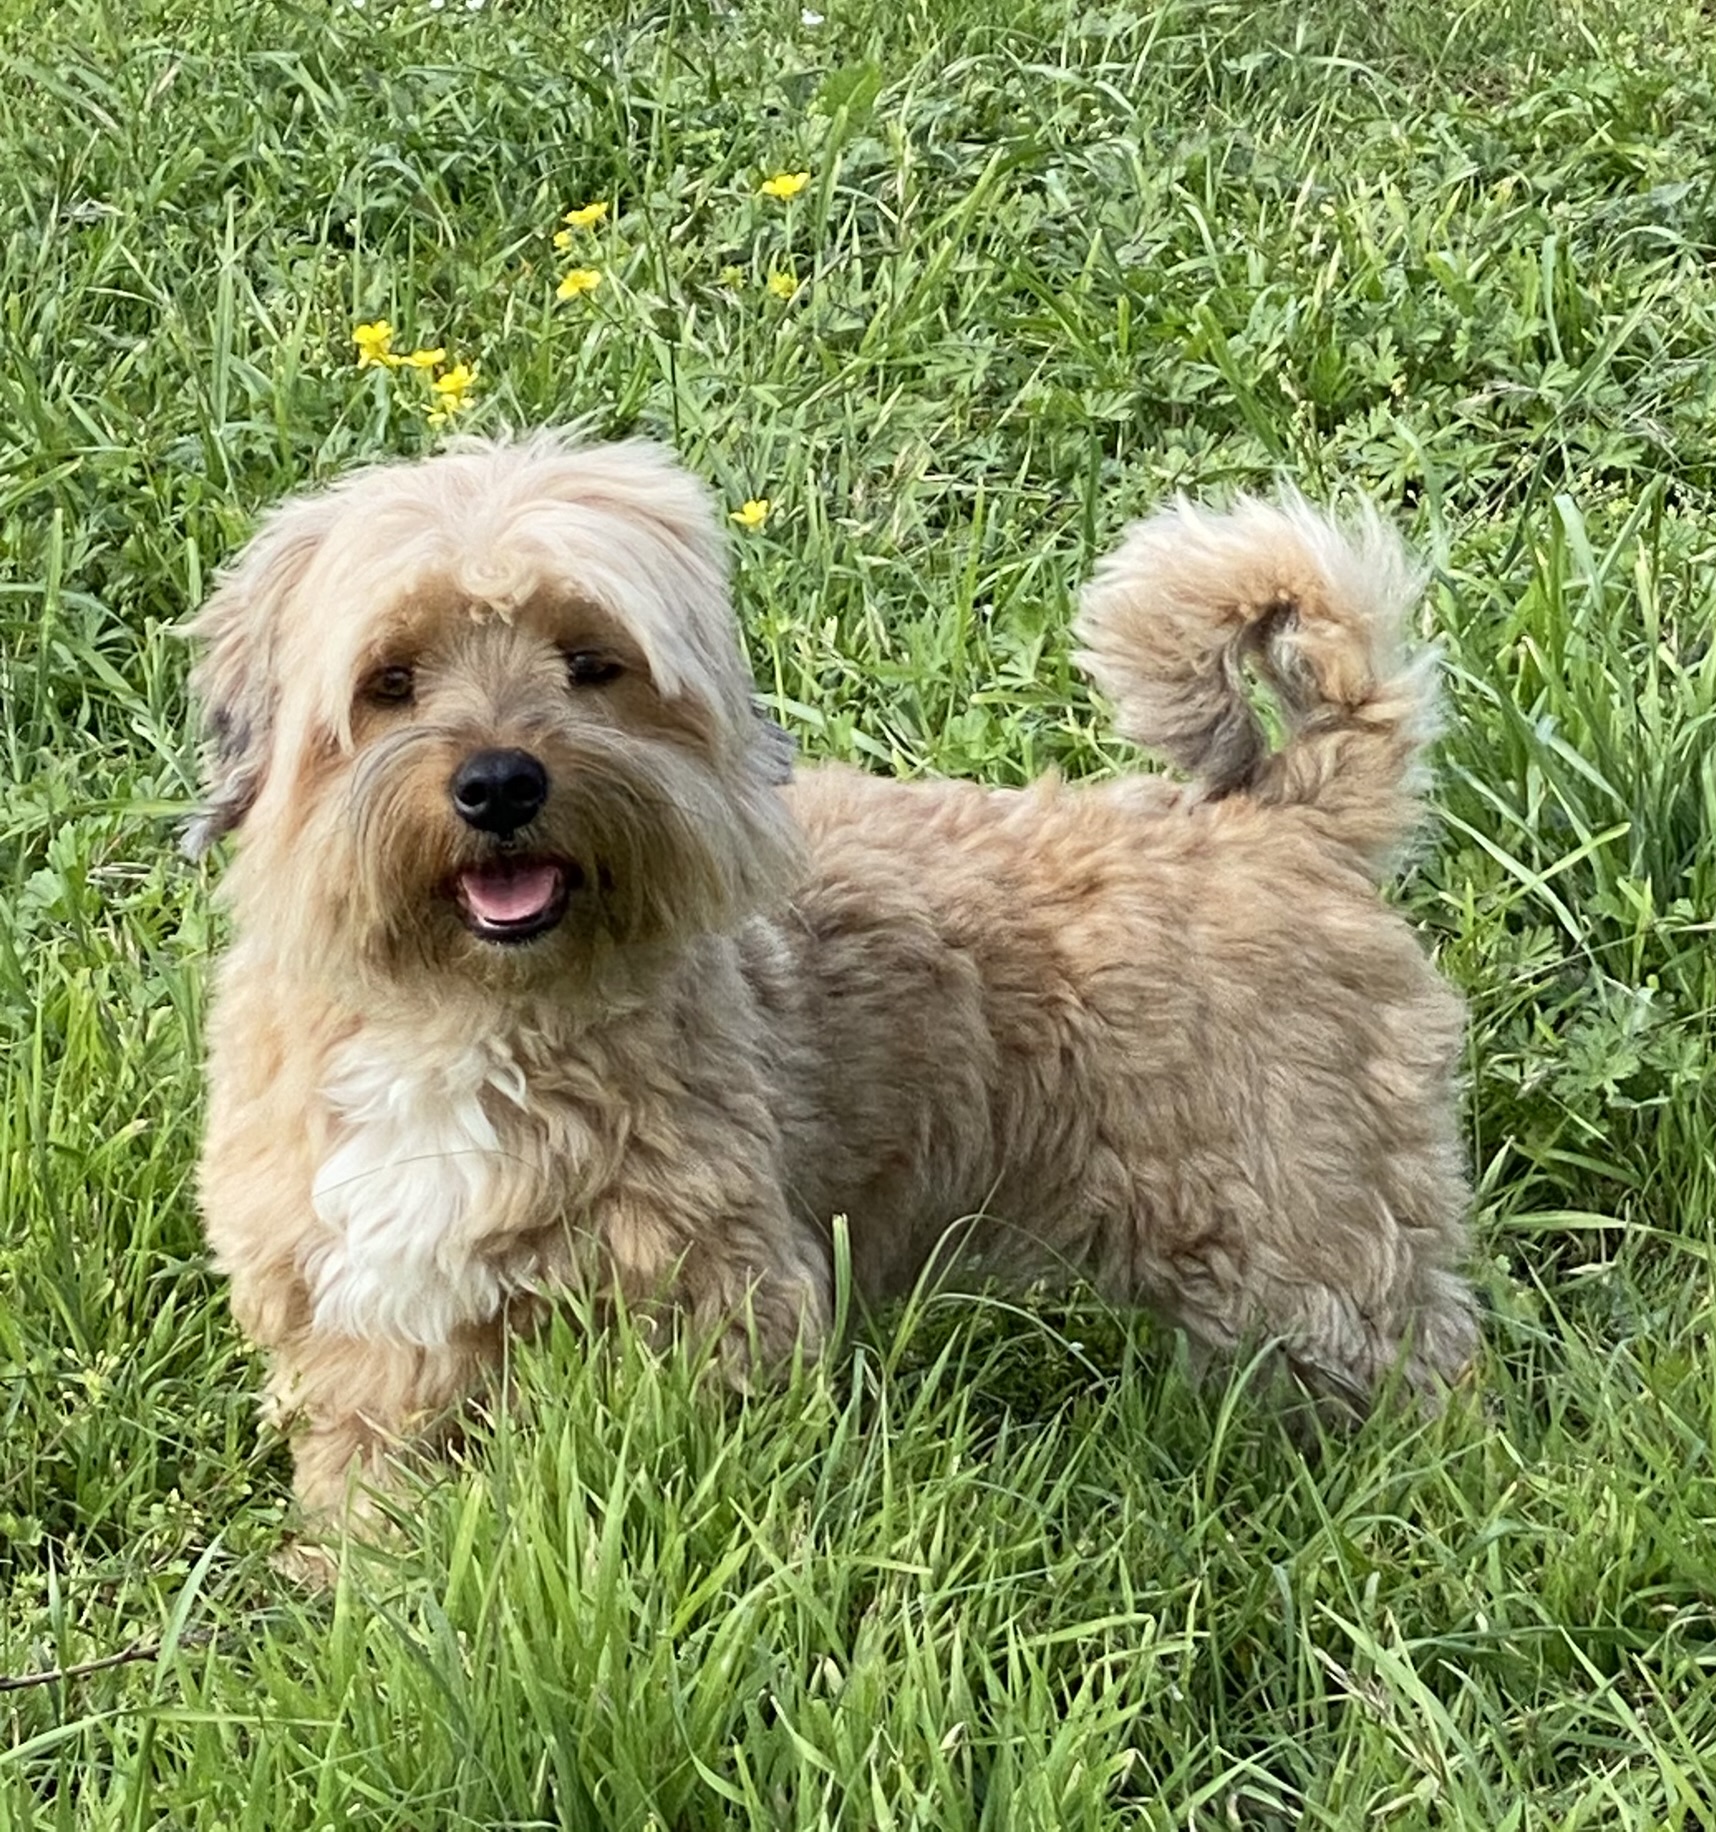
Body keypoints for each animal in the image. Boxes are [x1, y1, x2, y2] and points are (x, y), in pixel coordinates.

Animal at [187, 428, 1472, 1516]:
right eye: (391, 679)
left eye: (591, 662)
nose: (501, 781)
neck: (466, 1011)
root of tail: (1286, 815)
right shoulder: (366, 1312)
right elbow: (376, 1472)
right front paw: (357, 1577)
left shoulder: (711, 1292)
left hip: (1306, 1222)